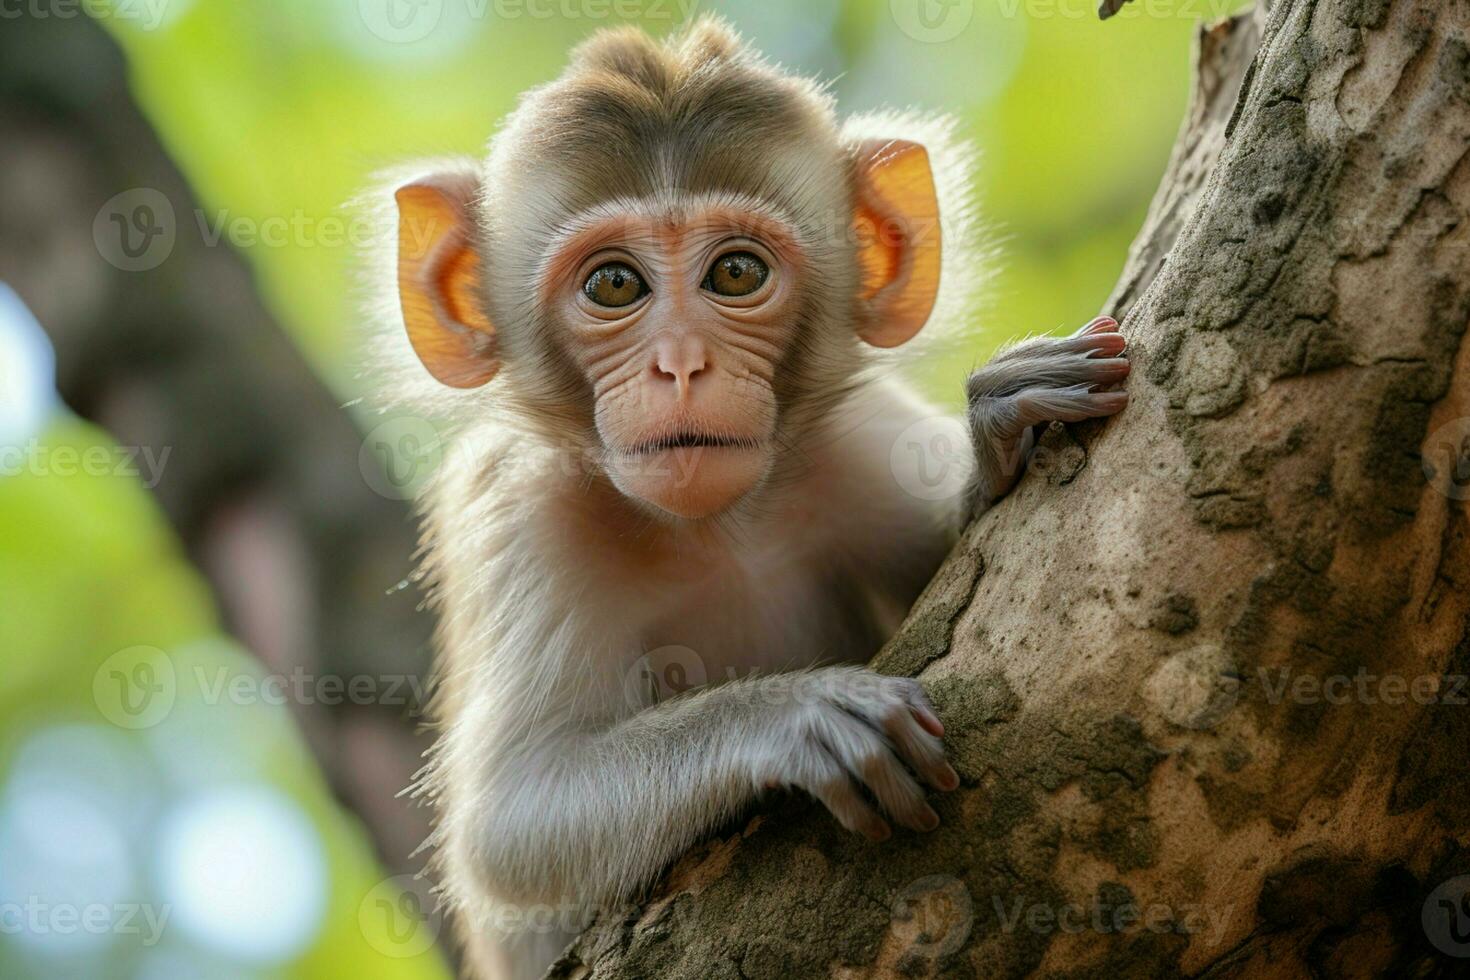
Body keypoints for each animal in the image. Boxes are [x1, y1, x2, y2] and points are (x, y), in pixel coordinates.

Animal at [376, 15, 1123, 980]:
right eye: (613, 284)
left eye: (736, 273)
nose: (683, 364)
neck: (713, 531)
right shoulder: (524, 513)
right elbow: (510, 825)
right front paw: (792, 716)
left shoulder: (858, 446)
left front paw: (998, 434)